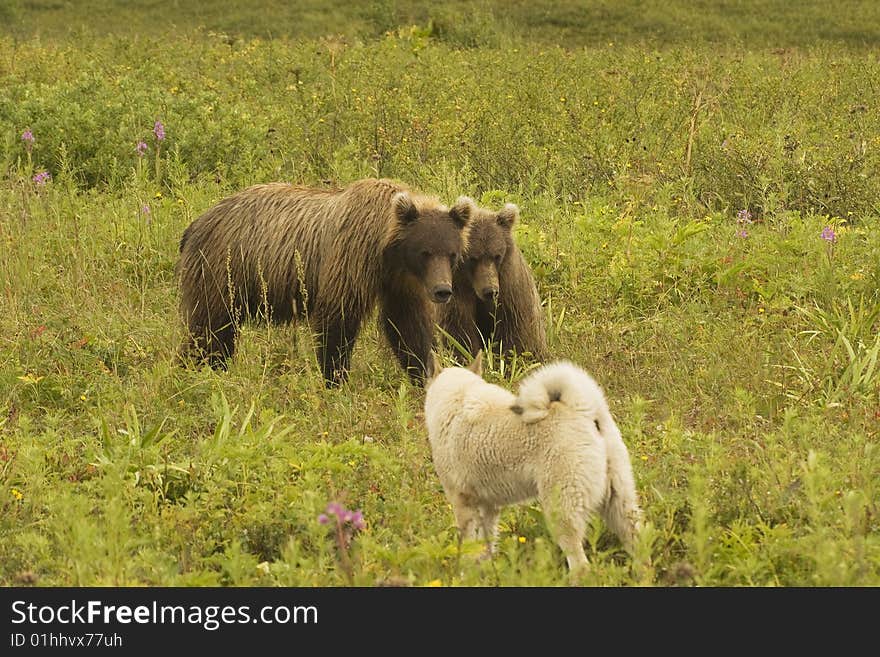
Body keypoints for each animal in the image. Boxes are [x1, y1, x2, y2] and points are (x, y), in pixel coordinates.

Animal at [174, 177, 474, 386]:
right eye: (425, 252)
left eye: (452, 253)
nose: (442, 290)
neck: (386, 250)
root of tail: (195, 224)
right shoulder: (350, 257)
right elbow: (337, 320)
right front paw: (336, 379)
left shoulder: (400, 283)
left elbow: (408, 326)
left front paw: (426, 373)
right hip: (223, 270)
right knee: (209, 328)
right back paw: (191, 371)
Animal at [422, 352, 644, 572]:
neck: (456, 397)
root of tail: (583, 410)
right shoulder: (489, 507)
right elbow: (486, 546)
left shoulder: (462, 504)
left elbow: (468, 547)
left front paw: (465, 574)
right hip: (620, 506)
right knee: (638, 545)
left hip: (561, 512)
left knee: (580, 565)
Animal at [436, 201, 548, 362]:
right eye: (473, 258)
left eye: (497, 255)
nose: (490, 291)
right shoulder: (457, 290)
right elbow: (459, 331)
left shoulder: (511, 288)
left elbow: (515, 332)